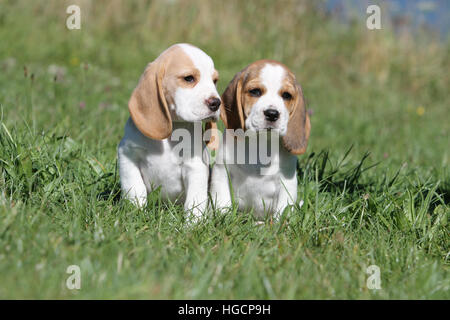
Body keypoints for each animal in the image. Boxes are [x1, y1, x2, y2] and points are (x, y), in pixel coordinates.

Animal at [117, 43, 221, 220]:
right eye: (189, 78)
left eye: (214, 81)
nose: (216, 103)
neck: (172, 132)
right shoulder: (127, 155)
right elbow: (135, 188)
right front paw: (136, 214)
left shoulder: (195, 166)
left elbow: (194, 201)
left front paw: (193, 224)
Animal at [210, 59, 310, 220]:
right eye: (255, 91)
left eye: (286, 95)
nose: (272, 114)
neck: (260, 143)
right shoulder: (221, 172)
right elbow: (222, 202)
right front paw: (222, 219)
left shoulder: (287, 183)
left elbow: (282, 211)